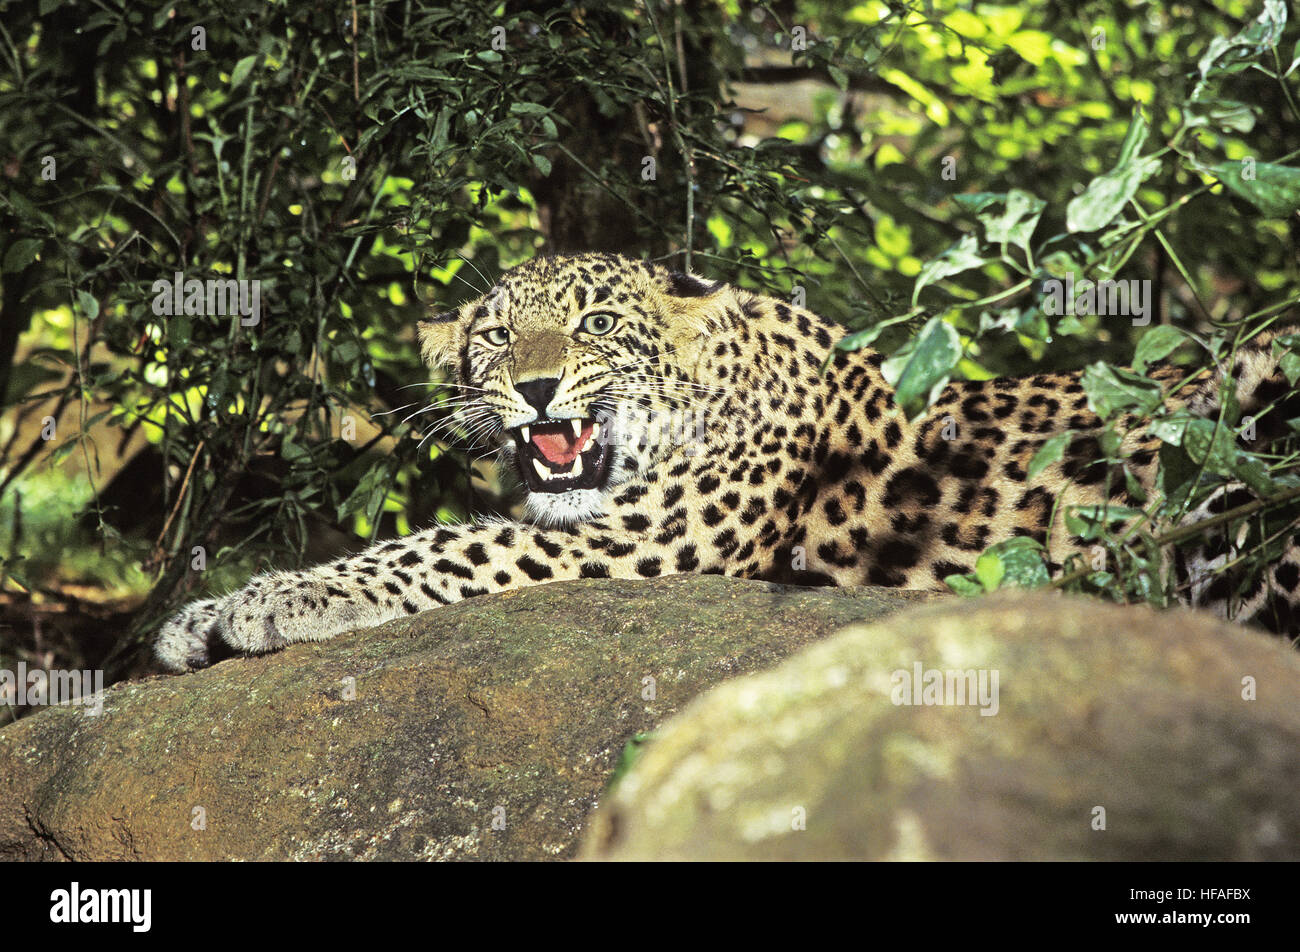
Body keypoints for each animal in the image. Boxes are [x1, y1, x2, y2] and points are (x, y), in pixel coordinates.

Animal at [155, 251, 1300, 671]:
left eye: (597, 326)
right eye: (497, 338)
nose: (536, 389)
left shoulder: (646, 542)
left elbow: (433, 549)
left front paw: (267, 601)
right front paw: (194, 614)